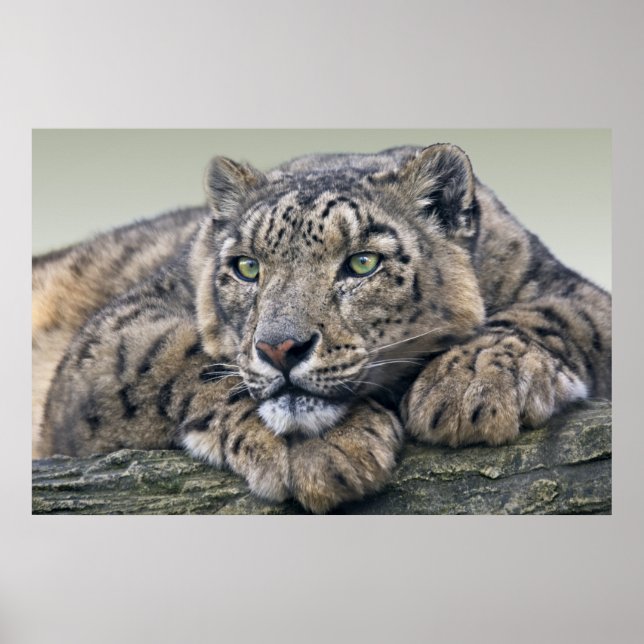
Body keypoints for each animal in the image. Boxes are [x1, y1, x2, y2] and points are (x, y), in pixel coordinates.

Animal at [32, 143, 612, 513]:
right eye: (247, 267)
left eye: (362, 263)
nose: (280, 347)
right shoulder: (111, 333)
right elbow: (176, 355)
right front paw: (322, 450)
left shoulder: (568, 286)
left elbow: (558, 314)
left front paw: (469, 386)